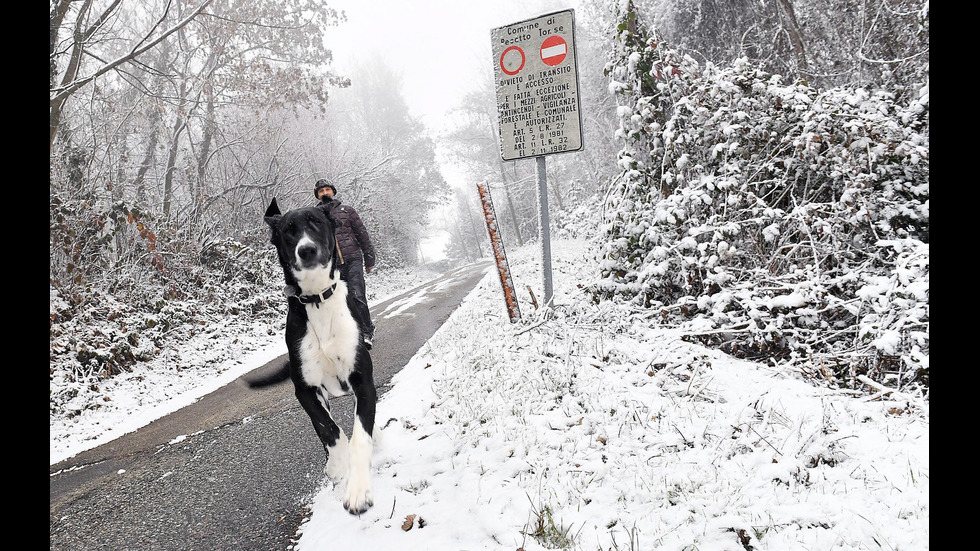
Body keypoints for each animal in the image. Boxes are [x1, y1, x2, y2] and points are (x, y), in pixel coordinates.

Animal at [249, 199, 376, 516]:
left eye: (316, 222)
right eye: (288, 231)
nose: (305, 250)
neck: (318, 299)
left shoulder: (363, 381)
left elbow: (360, 436)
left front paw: (358, 491)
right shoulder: (306, 390)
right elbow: (330, 430)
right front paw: (338, 467)